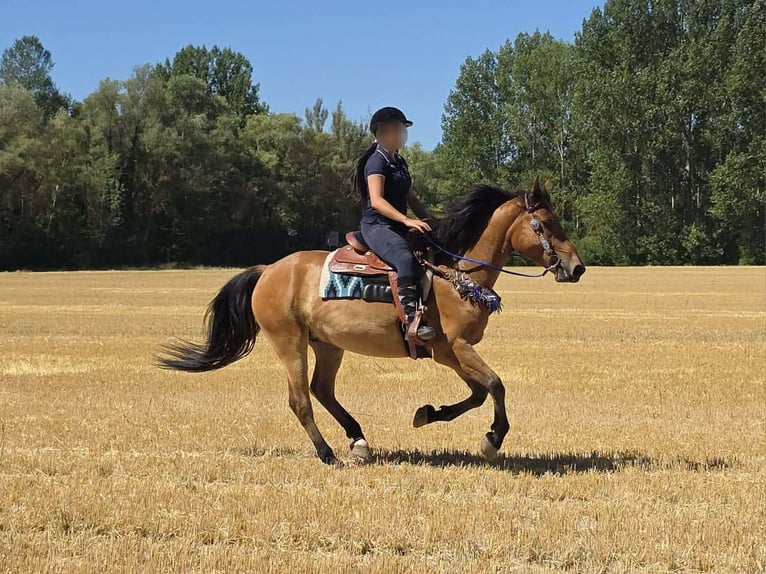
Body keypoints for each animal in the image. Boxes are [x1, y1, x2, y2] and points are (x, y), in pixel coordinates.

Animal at [157, 178, 586, 464]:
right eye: (546, 224)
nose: (576, 267)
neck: (456, 274)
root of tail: (268, 270)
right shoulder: (454, 347)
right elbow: (496, 386)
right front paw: (492, 440)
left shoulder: (449, 353)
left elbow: (480, 392)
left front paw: (429, 414)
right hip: (289, 341)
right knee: (300, 399)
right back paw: (327, 453)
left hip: (327, 345)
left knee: (322, 391)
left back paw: (358, 440)